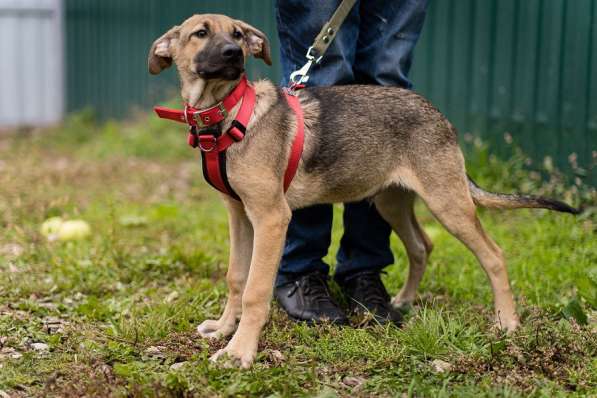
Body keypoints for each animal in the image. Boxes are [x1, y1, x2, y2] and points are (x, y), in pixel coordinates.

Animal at [148, 14, 576, 368]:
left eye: (237, 34)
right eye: (200, 33)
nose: (233, 53)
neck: (227, 113)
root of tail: (442, 117)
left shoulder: (271, 218)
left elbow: (255, 290)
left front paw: (239, 352)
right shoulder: (239, 215)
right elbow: (236, 277)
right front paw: (223, 329)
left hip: (447, 201)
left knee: (494, 255)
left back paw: (507, 323)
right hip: (391, 200)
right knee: (422, 245)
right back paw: (402, 301)